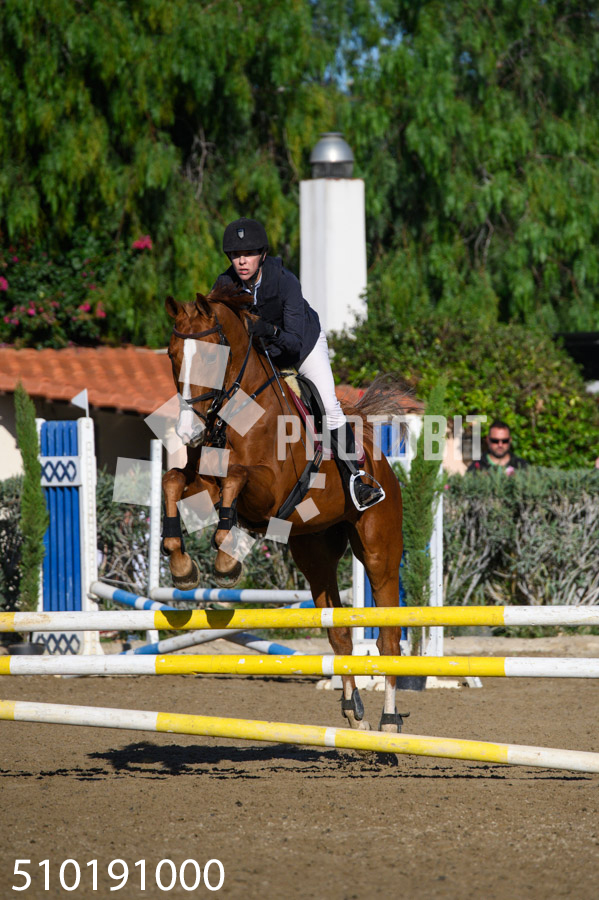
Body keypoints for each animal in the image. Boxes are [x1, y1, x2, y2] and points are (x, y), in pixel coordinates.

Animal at [162, 287, 413, 734]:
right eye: (173, 354)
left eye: (211, 357)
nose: (187, 432)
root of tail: (377, 455)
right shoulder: (204, 479)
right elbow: (174, 481)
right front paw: (182, 565)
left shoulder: (269, 489)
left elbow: (236, 478)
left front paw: (226, 560)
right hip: (313, 552)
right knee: (339, 633)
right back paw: (354, 713)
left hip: (379, 550)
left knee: (388, 637)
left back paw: (388, 719)